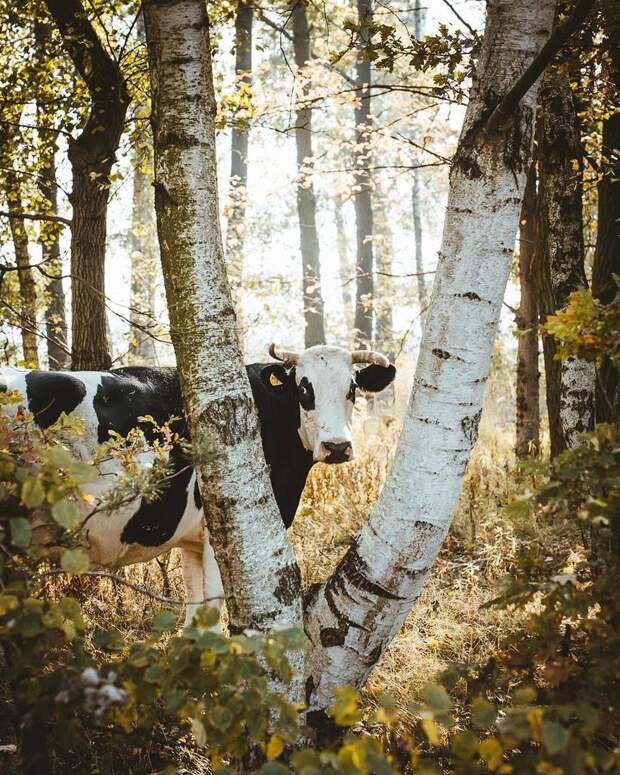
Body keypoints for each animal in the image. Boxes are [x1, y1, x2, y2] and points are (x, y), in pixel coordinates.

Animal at [0, 344, 394, 624]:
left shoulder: (190, 541)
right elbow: (211, 612)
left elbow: (193, 614)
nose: (337, 446)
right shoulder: (222, 532)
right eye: (303, 389)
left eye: (352, 388)